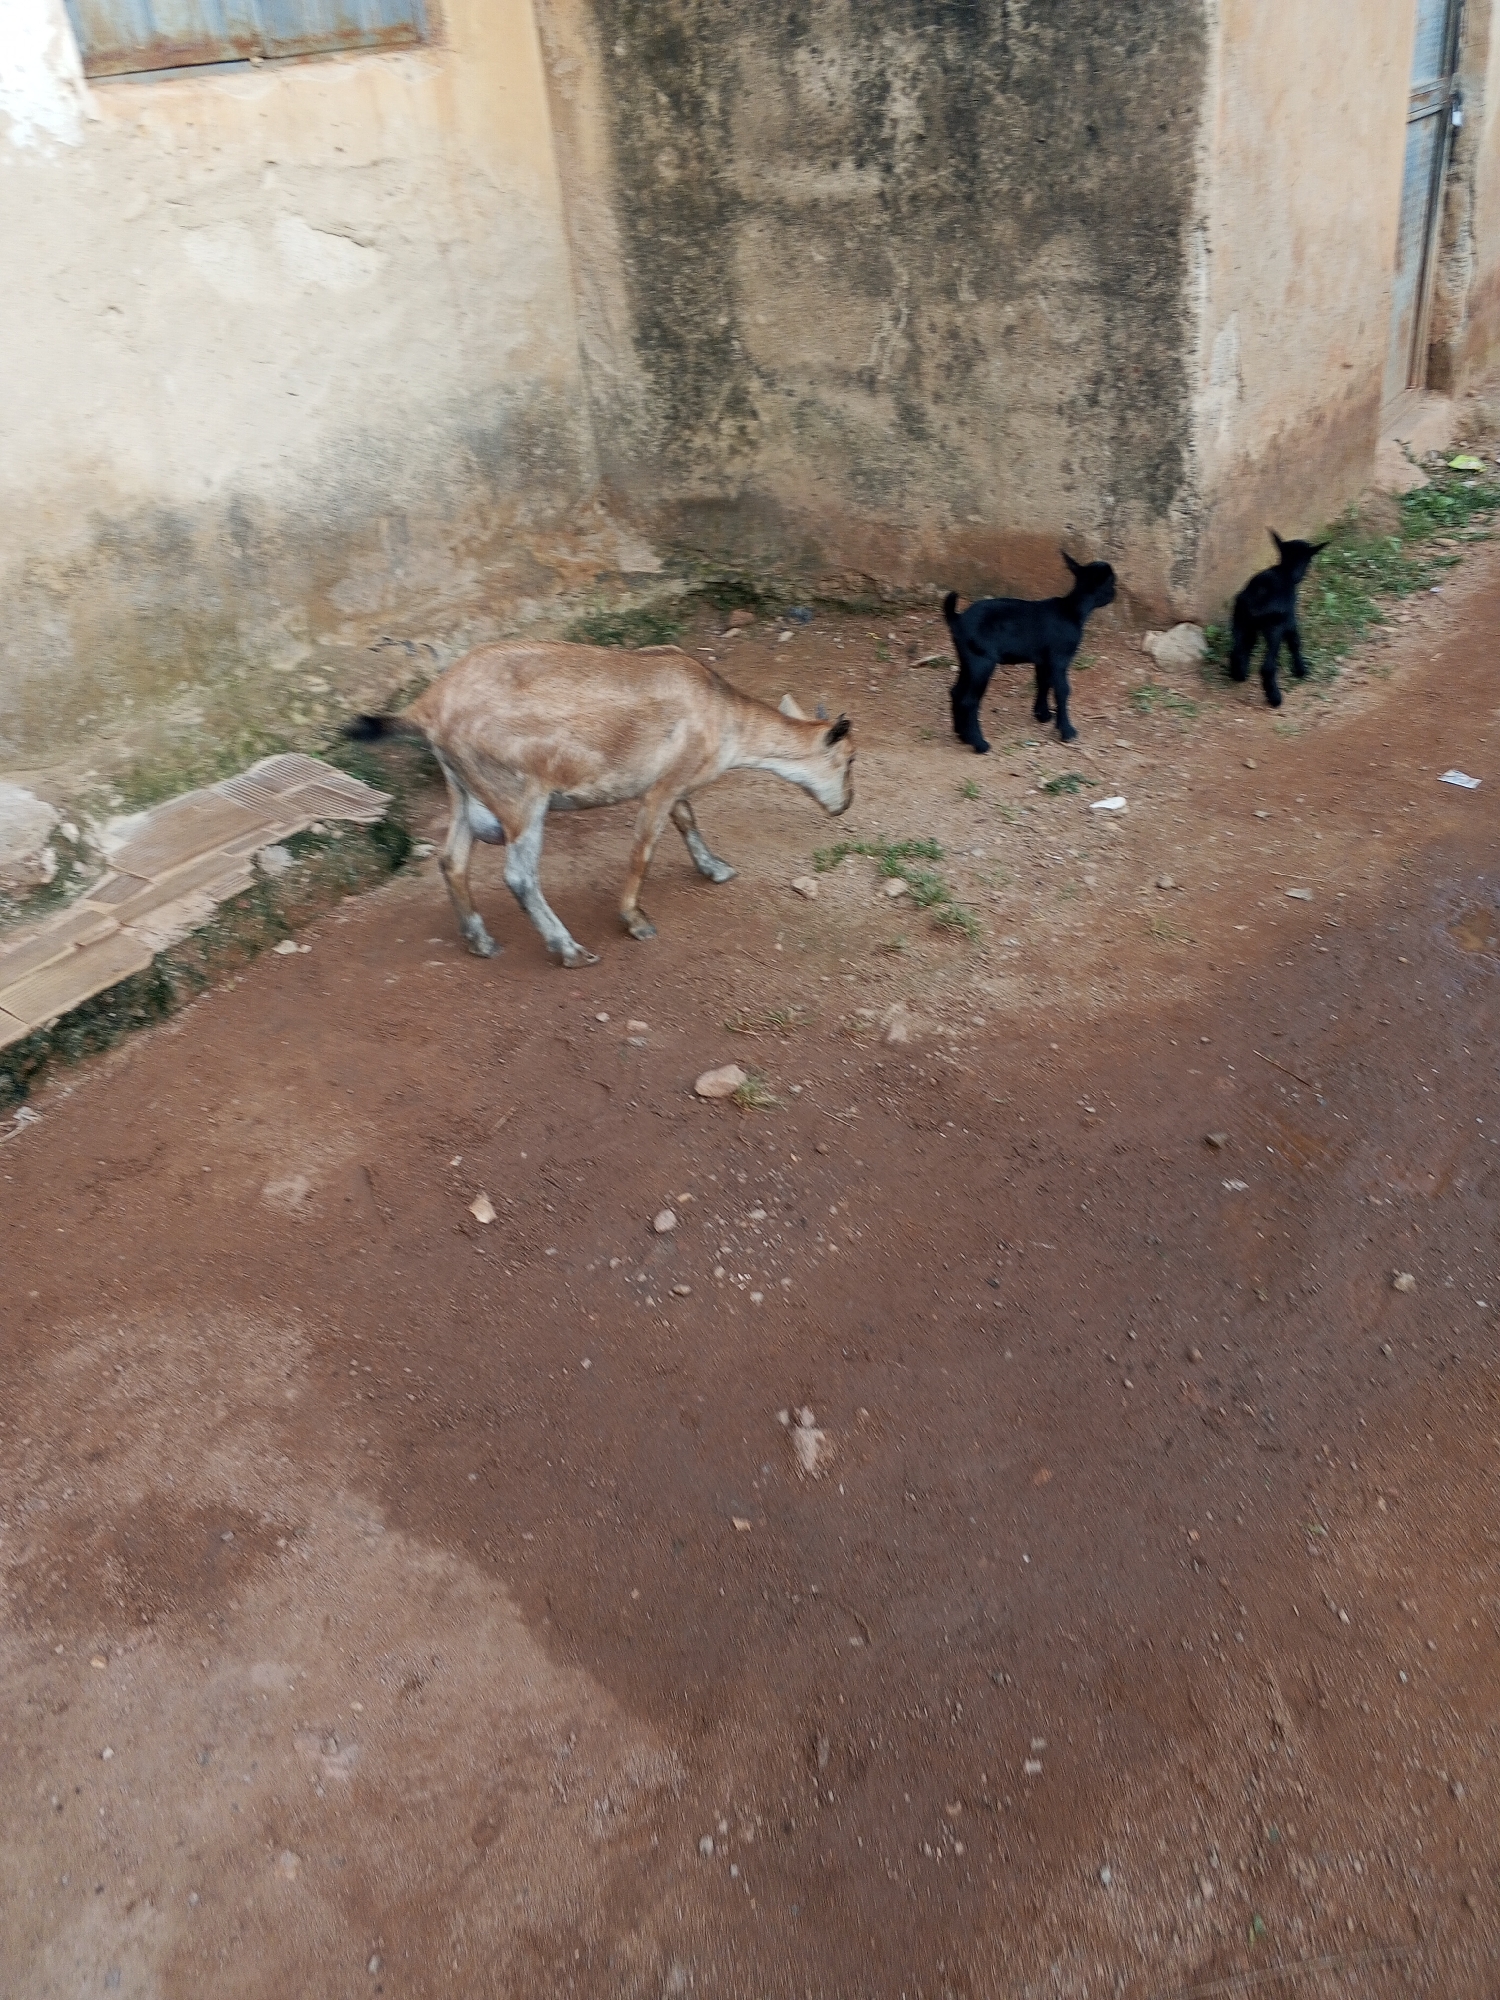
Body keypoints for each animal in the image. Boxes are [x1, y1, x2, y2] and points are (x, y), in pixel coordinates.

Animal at [344, 641, 854, 967]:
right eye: (850, 760)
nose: (844, 804)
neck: (724, 718)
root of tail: (428, 707)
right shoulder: (662, 785)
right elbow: (642, 852)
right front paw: (635, 921)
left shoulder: (672, 784)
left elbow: (688, 819)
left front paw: (717, 869)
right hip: (520, 795)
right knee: (519, 876)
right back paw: (569, 950)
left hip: (463, 788)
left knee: (452, 860)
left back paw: (481, 942)